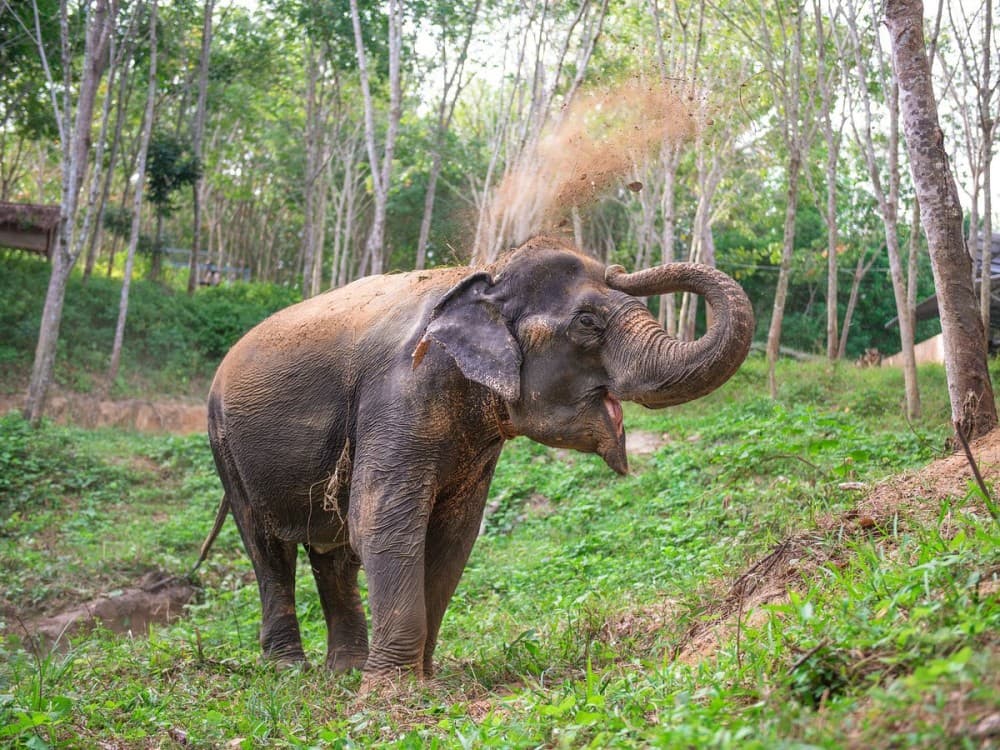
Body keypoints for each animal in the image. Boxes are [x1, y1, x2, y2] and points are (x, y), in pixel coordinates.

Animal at [194, 234, 754, 685]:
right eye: (587, 322)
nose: (617, 268)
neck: (485, 276)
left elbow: (454, 537)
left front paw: (420, 677)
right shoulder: (398, 393)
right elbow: (381, 521)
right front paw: (392, 691)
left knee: (332, 551)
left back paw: (343, 671)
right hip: (225, 445)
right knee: (268, 549)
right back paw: (289, 670)